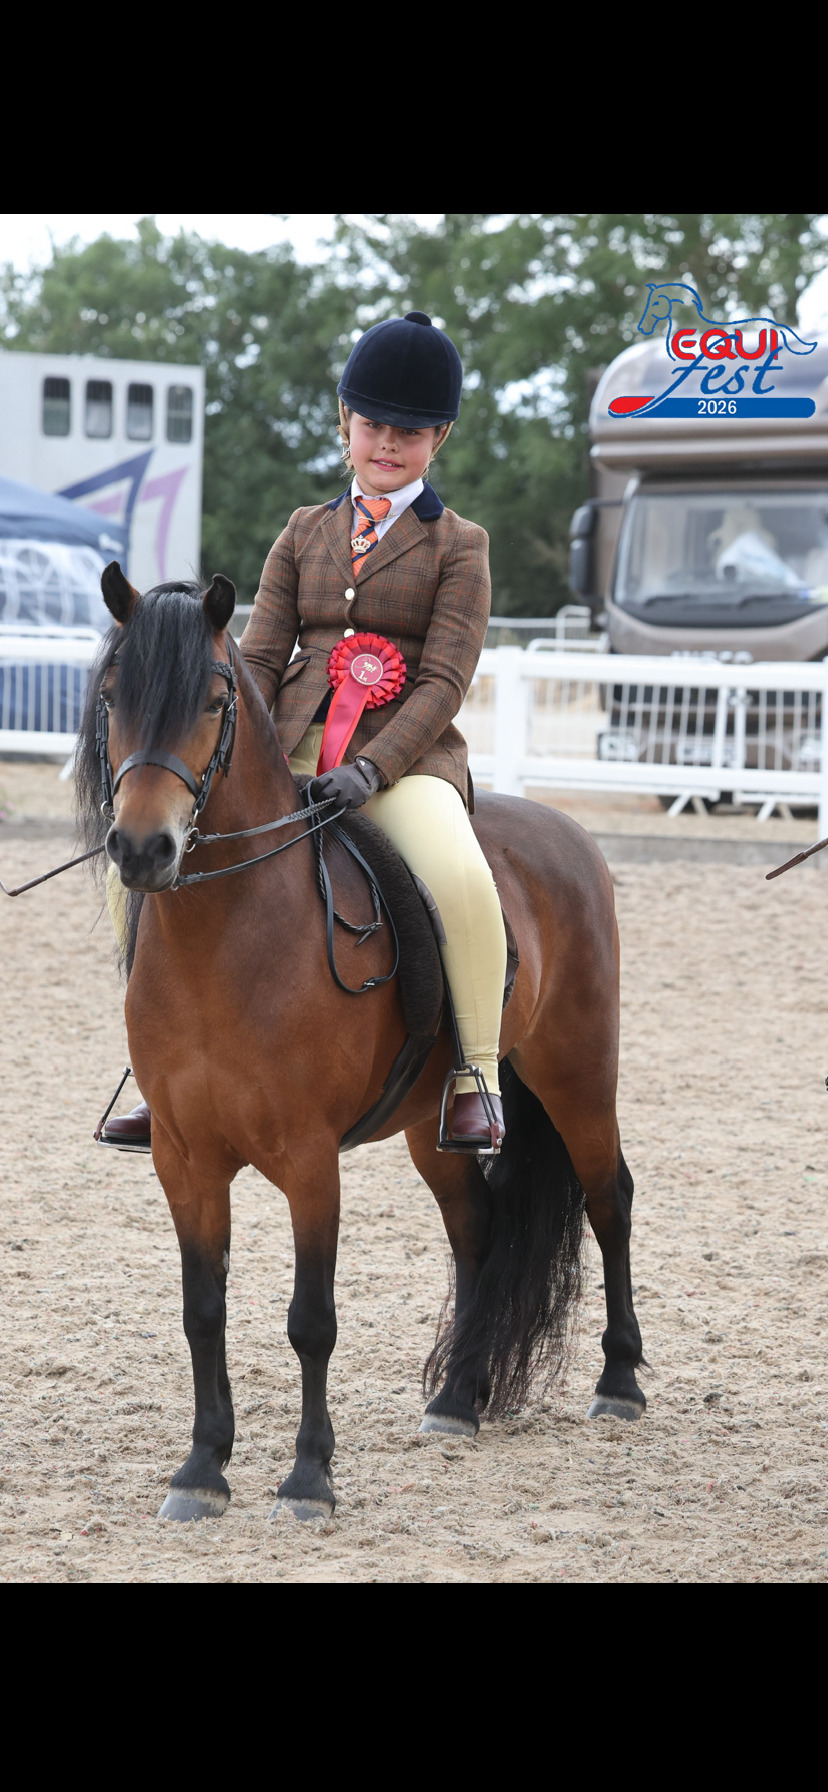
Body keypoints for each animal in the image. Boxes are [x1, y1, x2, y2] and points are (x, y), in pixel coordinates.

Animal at [73, 564, 646, 1524]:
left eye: (215, 701)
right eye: (113, 697)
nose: (144, 849)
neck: (225, 938)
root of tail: (566, 833)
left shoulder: (310, 1160)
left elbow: (311, 1319)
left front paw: (309, 1478)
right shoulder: (184, 1160)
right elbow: (202, 1311)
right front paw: (202, 1470)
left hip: (577, 1076)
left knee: (610, 1201)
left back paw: (620, 1384)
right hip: (433, 1126)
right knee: (477, 1227)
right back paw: (457, 1398)